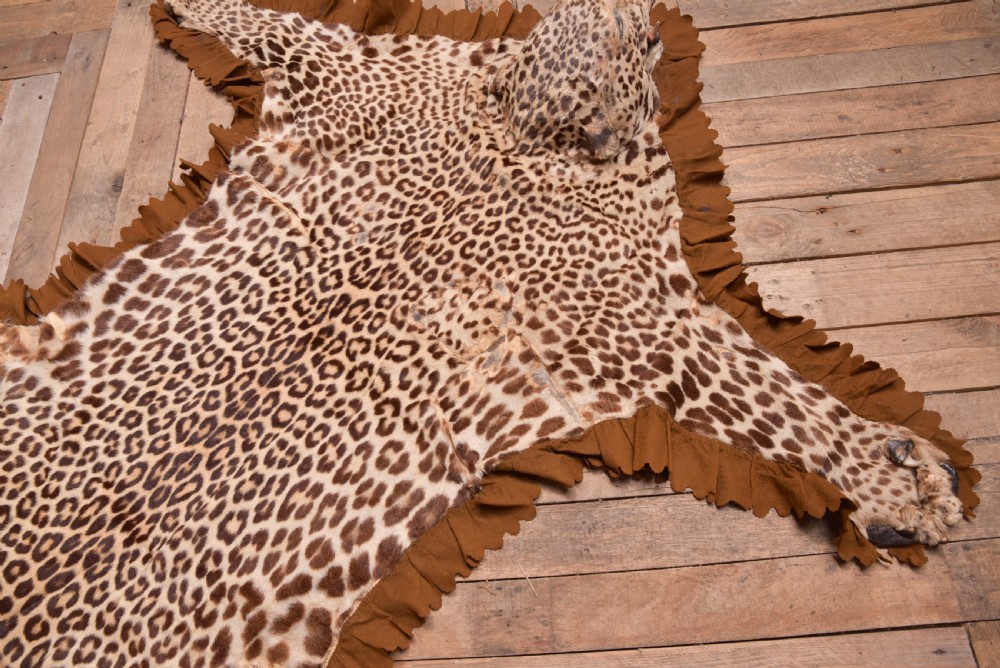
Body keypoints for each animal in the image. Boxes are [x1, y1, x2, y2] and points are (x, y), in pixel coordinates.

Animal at [0, 0, 964, 665]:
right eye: (634, 39)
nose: (647, 7)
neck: (520, 128)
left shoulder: (352, 66)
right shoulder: (654, 313)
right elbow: (781, 396)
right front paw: (909, 482)